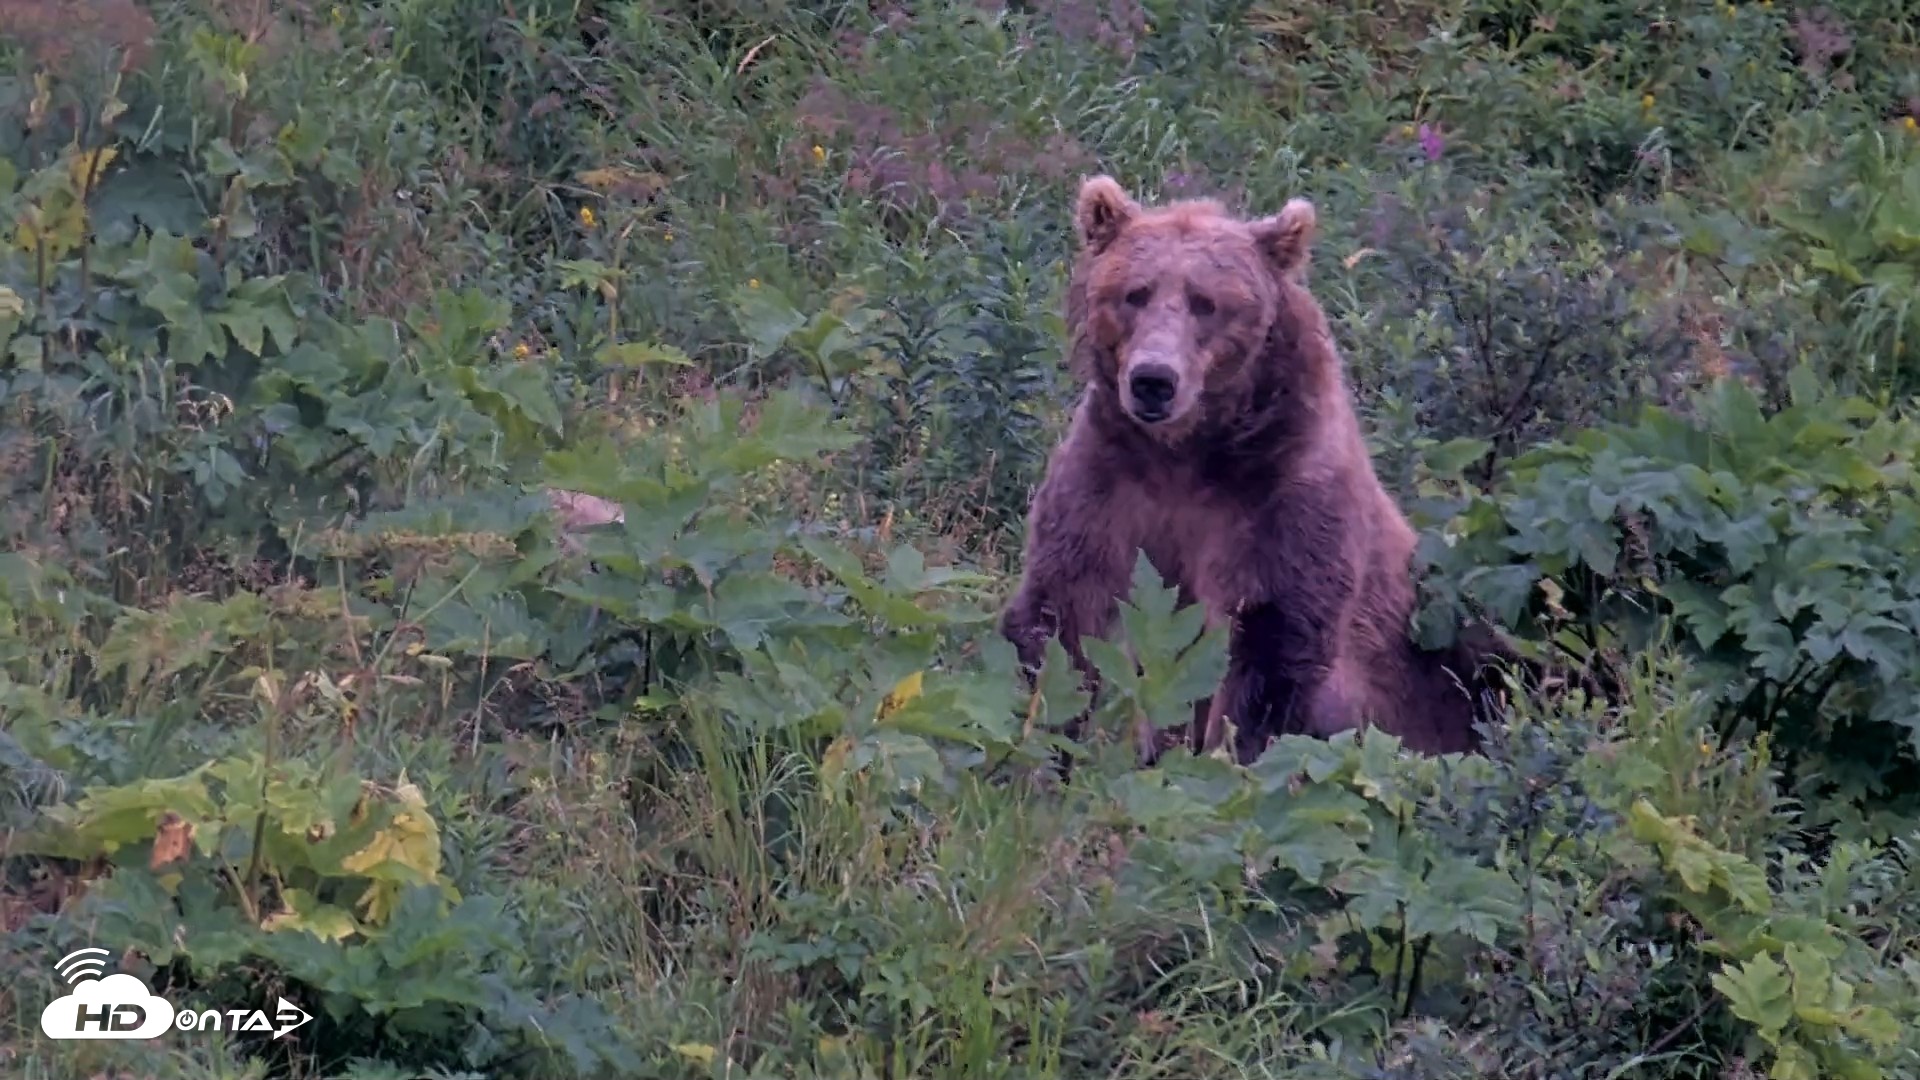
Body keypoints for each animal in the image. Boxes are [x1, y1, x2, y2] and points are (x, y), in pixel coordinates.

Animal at [999, 174, 1535, 768]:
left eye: (1206, 302)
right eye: (1135, 293)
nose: (1153, 380)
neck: (1187, 453)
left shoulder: (1281, 490)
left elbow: (1270, 641)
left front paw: (1227, 754)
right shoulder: (1108, 480)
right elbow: (1066, 614)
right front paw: (1056, 744)